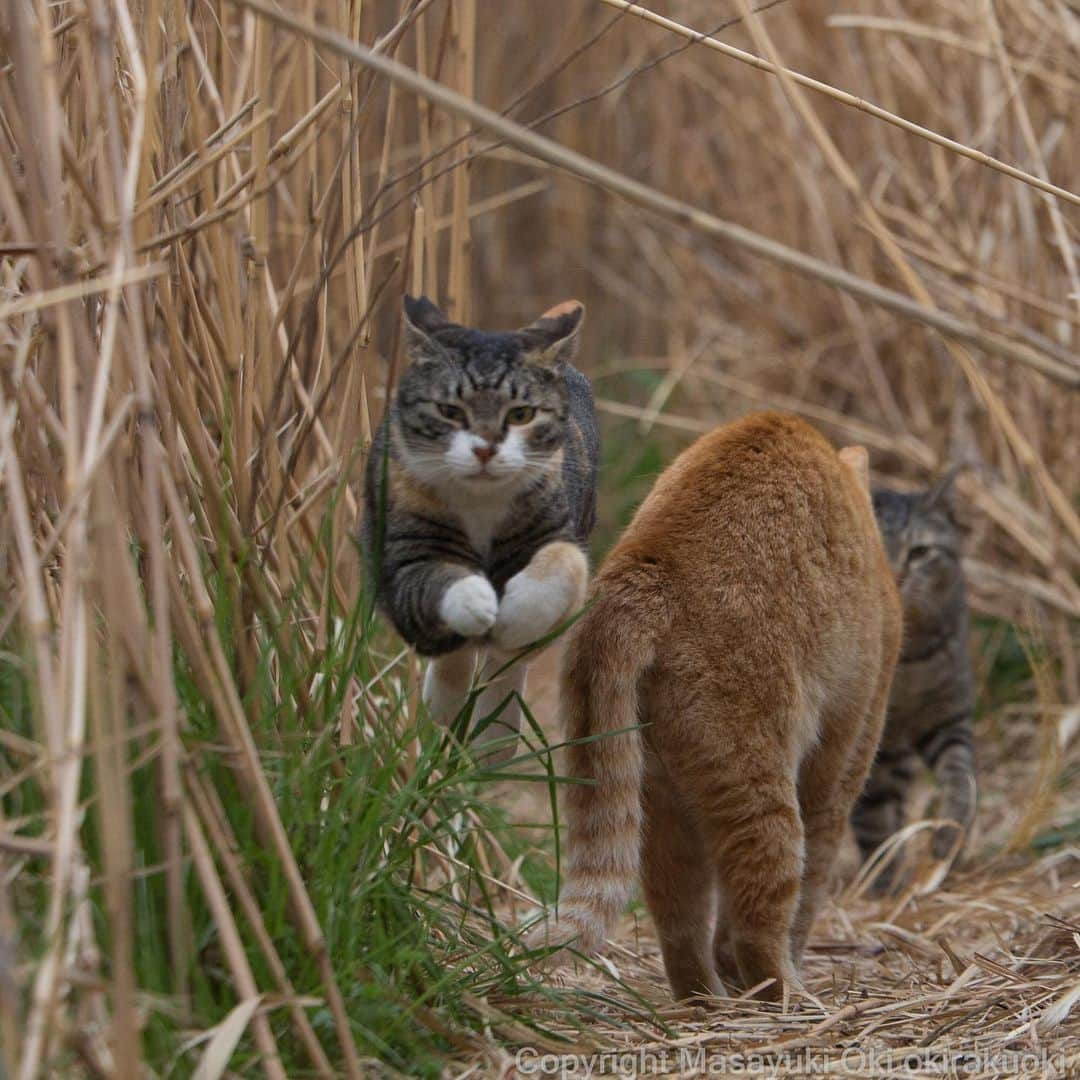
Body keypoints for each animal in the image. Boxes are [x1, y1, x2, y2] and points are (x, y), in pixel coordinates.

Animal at [362, 295, 600, 760]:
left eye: (521, 414)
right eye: (449, 411)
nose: (486, 449)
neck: (480, 501)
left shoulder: (557, 527)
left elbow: (565, 563)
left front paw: (515, 615)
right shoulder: (404, 555)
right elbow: (436, 580)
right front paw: (478, 602)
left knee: (506, 666)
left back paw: (493, 739)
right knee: (453, 659)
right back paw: (447, 708)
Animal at [527, 414, 898, 1002]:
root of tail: (643, 567)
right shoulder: (841, 766)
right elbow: (807, 892)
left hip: (658, 802)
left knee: (678, 925)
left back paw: (708, 1001)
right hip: (761, 791)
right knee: (757, 920)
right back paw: (791, 998)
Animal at [851, 473, 980, 885]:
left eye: (920, 552)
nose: (896, 577)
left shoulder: (948, 718)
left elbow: (961, 780)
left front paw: (949, 840)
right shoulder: (870, 746)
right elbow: (873, 820)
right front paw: (884, 884)